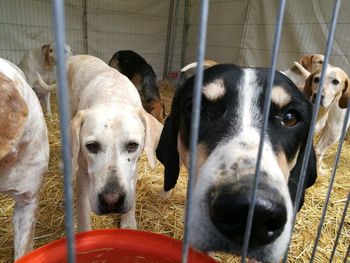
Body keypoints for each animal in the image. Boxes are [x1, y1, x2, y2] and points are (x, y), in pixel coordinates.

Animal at [67, 54, 163, 232]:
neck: (112, 98)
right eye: (92, 146)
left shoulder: (134, 167)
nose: (111, 200)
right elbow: (83, 212)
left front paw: (128, 223)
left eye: (132, 145)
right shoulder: (83, 174)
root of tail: (75, 56)